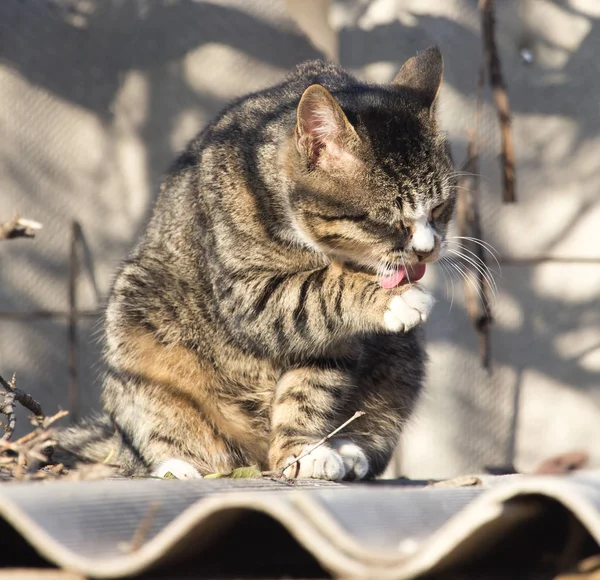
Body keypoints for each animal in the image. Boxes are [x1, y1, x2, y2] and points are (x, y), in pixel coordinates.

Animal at [58, 45, 458, 480]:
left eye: (441, 208)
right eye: (389, 220)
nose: (427, 249)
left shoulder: (332, 341)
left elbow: (310, 388)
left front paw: (303, 451)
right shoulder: (248, 295)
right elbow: (315, 291)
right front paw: (392, 298)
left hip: (403, 358)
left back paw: (348, 449)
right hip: (135, 311)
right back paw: (178, 464)